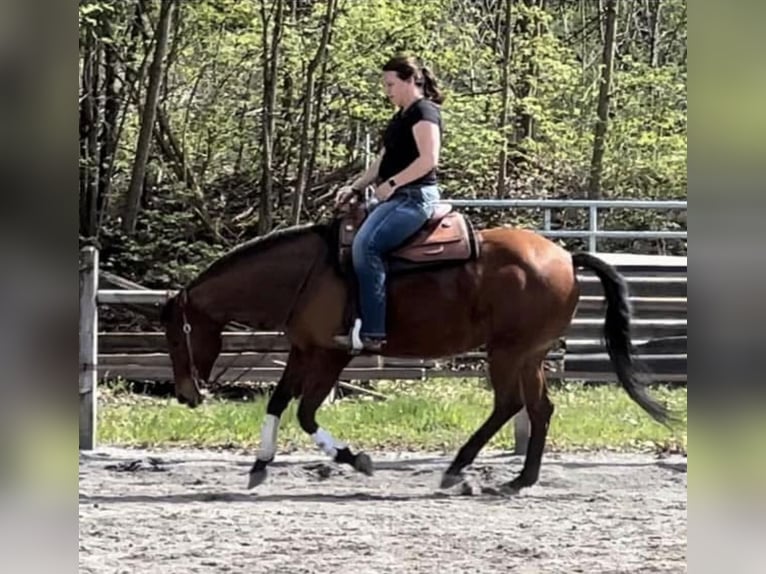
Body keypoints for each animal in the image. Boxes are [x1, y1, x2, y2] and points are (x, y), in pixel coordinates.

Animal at [159, 201, 673, 492]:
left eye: (177, 333)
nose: (185, 394)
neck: (310, 271)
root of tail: (566, 255)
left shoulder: (332, 354)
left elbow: (305, 413)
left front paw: (355, 459)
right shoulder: (304, 350)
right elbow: (278, 401)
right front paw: (260, 464)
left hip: (507, 352)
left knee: (508, 404)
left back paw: (458, 467)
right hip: (531, 354)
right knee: (539, 408)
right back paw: (520, 479)